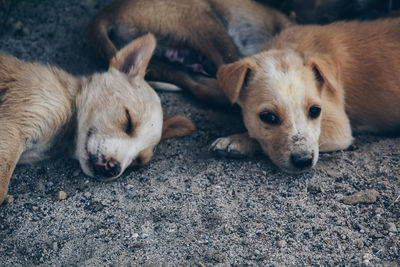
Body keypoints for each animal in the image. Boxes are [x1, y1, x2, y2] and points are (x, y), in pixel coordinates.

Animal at [214, 18, 400, 174]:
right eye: (268, 117)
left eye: (315, 111)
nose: (303, 161)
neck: (290, 48)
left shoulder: (340, 127)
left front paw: (236, 141)